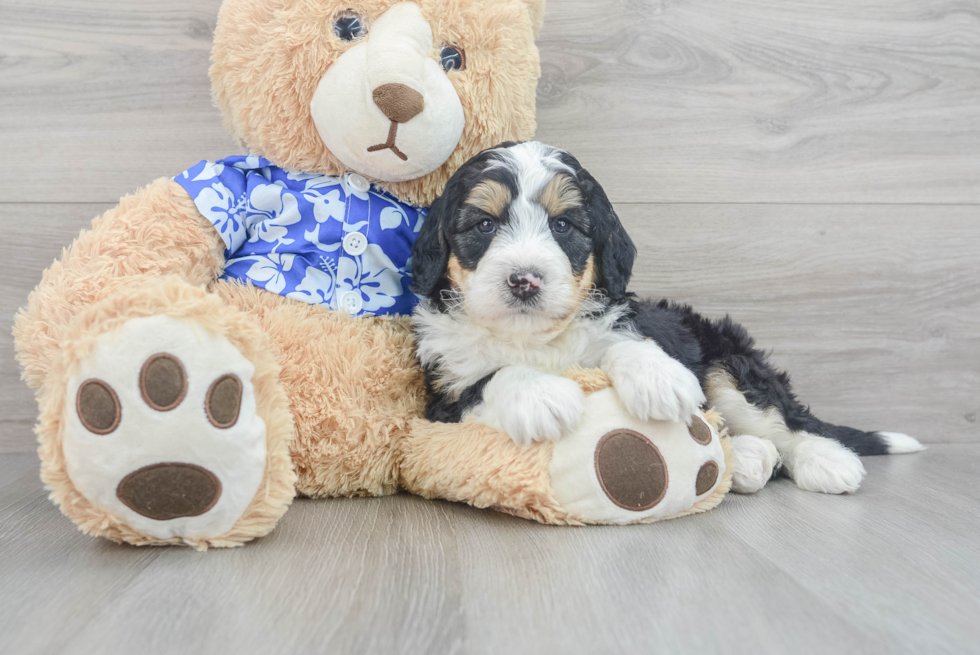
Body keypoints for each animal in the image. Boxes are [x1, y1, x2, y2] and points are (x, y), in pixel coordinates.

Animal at [410, 142, 924, 492]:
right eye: (484, 225)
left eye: (562, 225)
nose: (524, 280)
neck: (535, 337)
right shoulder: (443, 398)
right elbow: (491, 377)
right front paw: (541, 395)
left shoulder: (624, 325)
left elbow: (630, 344)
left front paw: (658, 378)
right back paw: (750, 458)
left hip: (728, 363)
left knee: (783, 421)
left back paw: (825, 459)